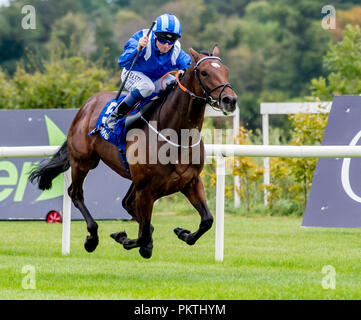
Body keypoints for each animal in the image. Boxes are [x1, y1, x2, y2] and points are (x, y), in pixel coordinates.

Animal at [28, 46, 236, 258]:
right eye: (204, 72)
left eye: (226, 70)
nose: (230, 99)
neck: (176, 135)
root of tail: (86, 105)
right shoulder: (146, 189)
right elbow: (143, 235)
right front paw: (126, 239)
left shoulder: (190, 182)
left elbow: (207, 220)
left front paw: (182, 233)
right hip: (83, 161)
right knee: (76, 193)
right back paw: (92, 238)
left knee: (127, 204)